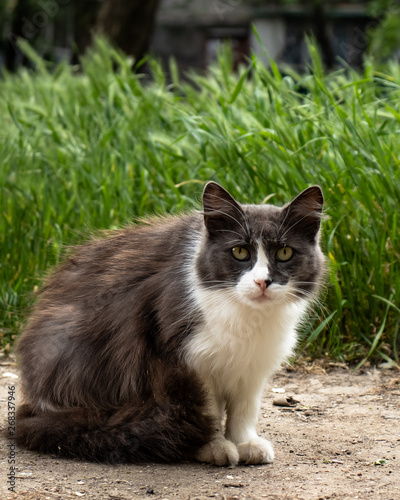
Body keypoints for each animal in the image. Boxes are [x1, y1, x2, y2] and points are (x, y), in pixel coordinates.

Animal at [14, 182, 324, 466]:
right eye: (239, 252)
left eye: (284, 253)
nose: (262, 282)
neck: (247, 318)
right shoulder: (184, 356)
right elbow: (207, 409)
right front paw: (214, 446)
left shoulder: (253, 364)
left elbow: (244, 408)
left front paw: (245, 442)